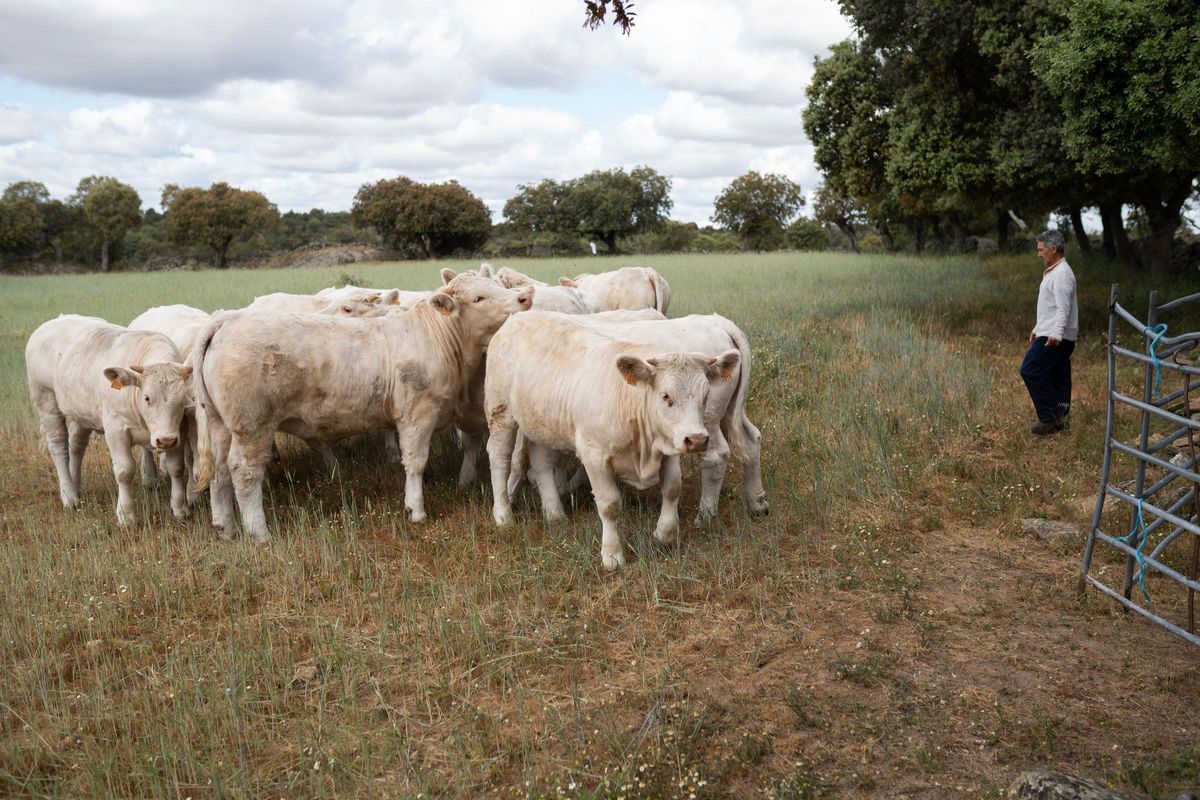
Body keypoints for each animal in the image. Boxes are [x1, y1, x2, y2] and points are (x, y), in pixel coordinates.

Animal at [24, 311, 194, 525]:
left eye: (181, 399)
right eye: (147, 397)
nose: (165, 440)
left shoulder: (179, 429)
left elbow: (176, 467)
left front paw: (180, 508)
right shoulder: (115, 429)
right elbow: (124, 470)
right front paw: (126, 515)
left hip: (82, 412)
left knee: (76, 444)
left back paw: (75, 485)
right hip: (46, 400)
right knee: (59, 446)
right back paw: (69, 495)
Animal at [194, 271, 532, 544]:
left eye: (496, 285)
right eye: (479, 298)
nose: (524, 297)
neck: (438, 337)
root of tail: (227, 320)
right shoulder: (417, 415)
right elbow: (415, 462)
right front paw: (416, 510)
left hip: (219, 423)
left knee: (220, 472)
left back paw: (225, 528)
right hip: (252, 426)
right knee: (244, 472)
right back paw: (259, 533)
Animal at [482, 311, 734, 568]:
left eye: (706, 395)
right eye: (666, 396)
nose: (697, 439)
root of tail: (518, 317)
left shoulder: (668, 444)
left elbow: (673, 488)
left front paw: (664, 535)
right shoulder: (595, 455)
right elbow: (610, 504)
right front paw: (612, 556)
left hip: (541, 422)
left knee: (541, 463)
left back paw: (555, 514)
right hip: (501, 412)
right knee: (500, 458)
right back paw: (503, 514)